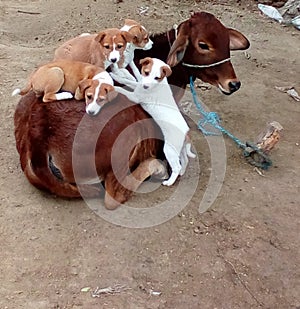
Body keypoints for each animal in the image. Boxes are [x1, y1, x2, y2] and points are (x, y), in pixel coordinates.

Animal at [113, 56, 196, 185]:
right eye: (146, 72)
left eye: (157, 77)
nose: (145, 86)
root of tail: (186, 132)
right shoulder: (138, 85)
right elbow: (129, 81)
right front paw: (114, 75)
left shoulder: (135, 97)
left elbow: (124, 90)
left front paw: (113, 86)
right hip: (180, 149)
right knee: (185, 159)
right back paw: (182, 172)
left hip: (169, 150)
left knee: (176, 166)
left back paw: (169, 181)